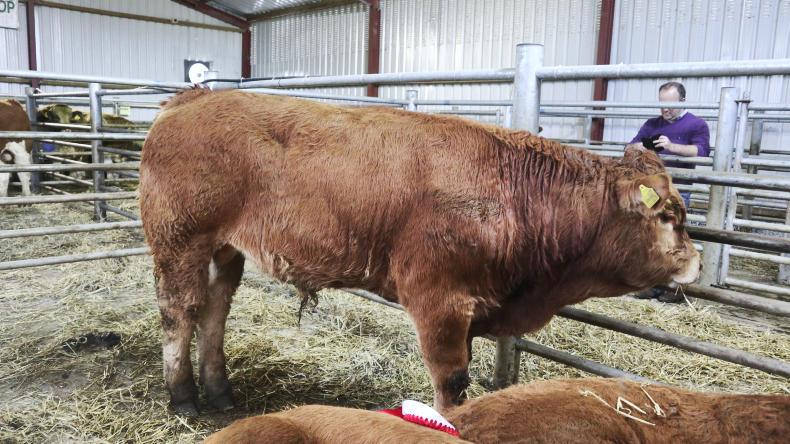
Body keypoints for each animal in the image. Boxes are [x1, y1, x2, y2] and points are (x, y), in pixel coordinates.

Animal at [139, 89, 701, 415]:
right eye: (668, 216)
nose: (695, 261)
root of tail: (194, 96)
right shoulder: (440, 302)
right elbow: (451, 383)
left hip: (225, 249)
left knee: (214, 310)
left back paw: (221, 393)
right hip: (180, 240)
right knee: (178, 311)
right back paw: (184, 398)